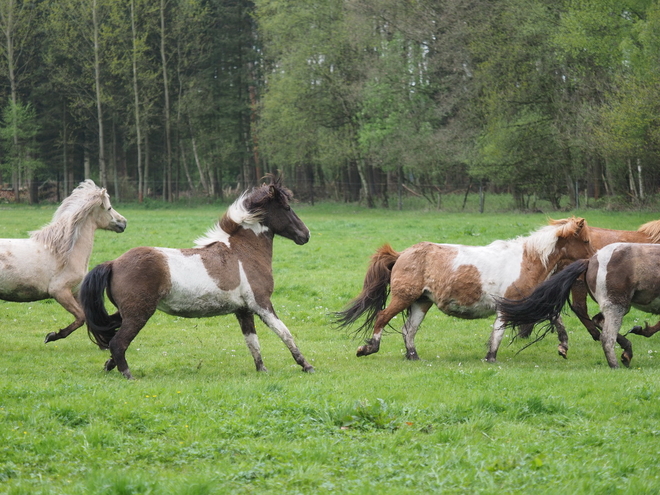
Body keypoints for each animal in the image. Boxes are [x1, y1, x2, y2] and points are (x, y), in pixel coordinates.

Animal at [0, 179, 126, 344]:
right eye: (109, 207)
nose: (124, 223)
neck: (66, 253)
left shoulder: (76, 292)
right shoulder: (59, 292)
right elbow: (81, 317)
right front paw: (52, 336)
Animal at [77, 177, 314, 380]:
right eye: (287, 208)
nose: (306, 235)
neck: (244, 252)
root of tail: (113, 263)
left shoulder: (244, 310)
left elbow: (253, 343)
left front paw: (262, 369)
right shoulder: (261, 304)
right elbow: (284, 332)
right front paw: (306, 365)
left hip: (126, 313)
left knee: (112, 337)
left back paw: (109, 366)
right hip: (139, 314)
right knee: (118, 342)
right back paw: (128, 375)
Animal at [336, 217, 592, 364]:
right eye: (587, 241)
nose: (593, 260)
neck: (527, 260)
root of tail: (402, 254)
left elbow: (556, 319)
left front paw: (563, 347)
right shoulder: (507, 304)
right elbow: (498, 332)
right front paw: (491, 358)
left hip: (421, 302)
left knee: (409, 329)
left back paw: (413, 356)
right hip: (403, 297)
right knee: (382, 318)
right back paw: (369, 348)